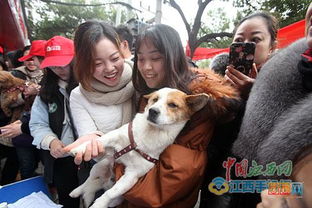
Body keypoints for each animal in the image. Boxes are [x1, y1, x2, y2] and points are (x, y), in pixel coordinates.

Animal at [69, 88, 208, 208]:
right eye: (155, 99)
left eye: (172, 105)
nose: (152, 111)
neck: (149, 134)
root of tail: (105, 182)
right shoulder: (114, 139)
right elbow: (99, 141)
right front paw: (81, 148)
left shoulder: (132, 176)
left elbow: (111, 193)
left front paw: (99, 204)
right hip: (100, 166)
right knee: (88, 181)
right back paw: (77, 191)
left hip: (117, 196)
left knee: (106, 192)